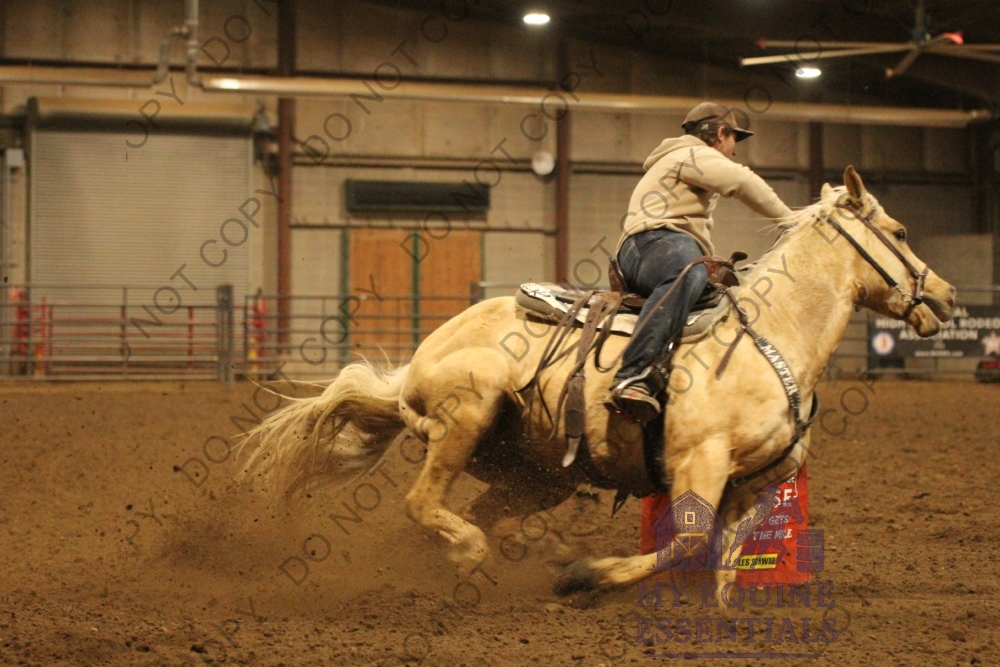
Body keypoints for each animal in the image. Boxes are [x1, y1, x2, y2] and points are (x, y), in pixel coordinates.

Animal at [238, 166, 955, 597]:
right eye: (898, 231)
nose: (946, 297)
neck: (772, 337)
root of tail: (417, 362)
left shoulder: (757, 483)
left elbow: (722, 562)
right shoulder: (700, 462)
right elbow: (687, 543)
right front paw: (586, 577)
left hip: (539, 473)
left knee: (479, 510)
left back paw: (516, 548)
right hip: (467, 413)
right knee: (424, 503)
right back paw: (482, 553)